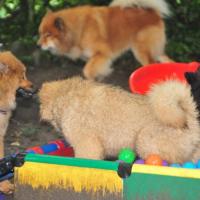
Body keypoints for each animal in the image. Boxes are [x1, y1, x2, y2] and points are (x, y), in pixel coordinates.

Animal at [38, 0, 173, 79]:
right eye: (41, 33)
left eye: (48, 35)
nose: (38, 45)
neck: (80, 30)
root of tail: (152, 13)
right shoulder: (93, 58)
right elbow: (93, 71)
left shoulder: (102, 54)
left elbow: (87, 71)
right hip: (155, 51)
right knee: (167, 61)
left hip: (141, 51)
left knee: (152, 64)